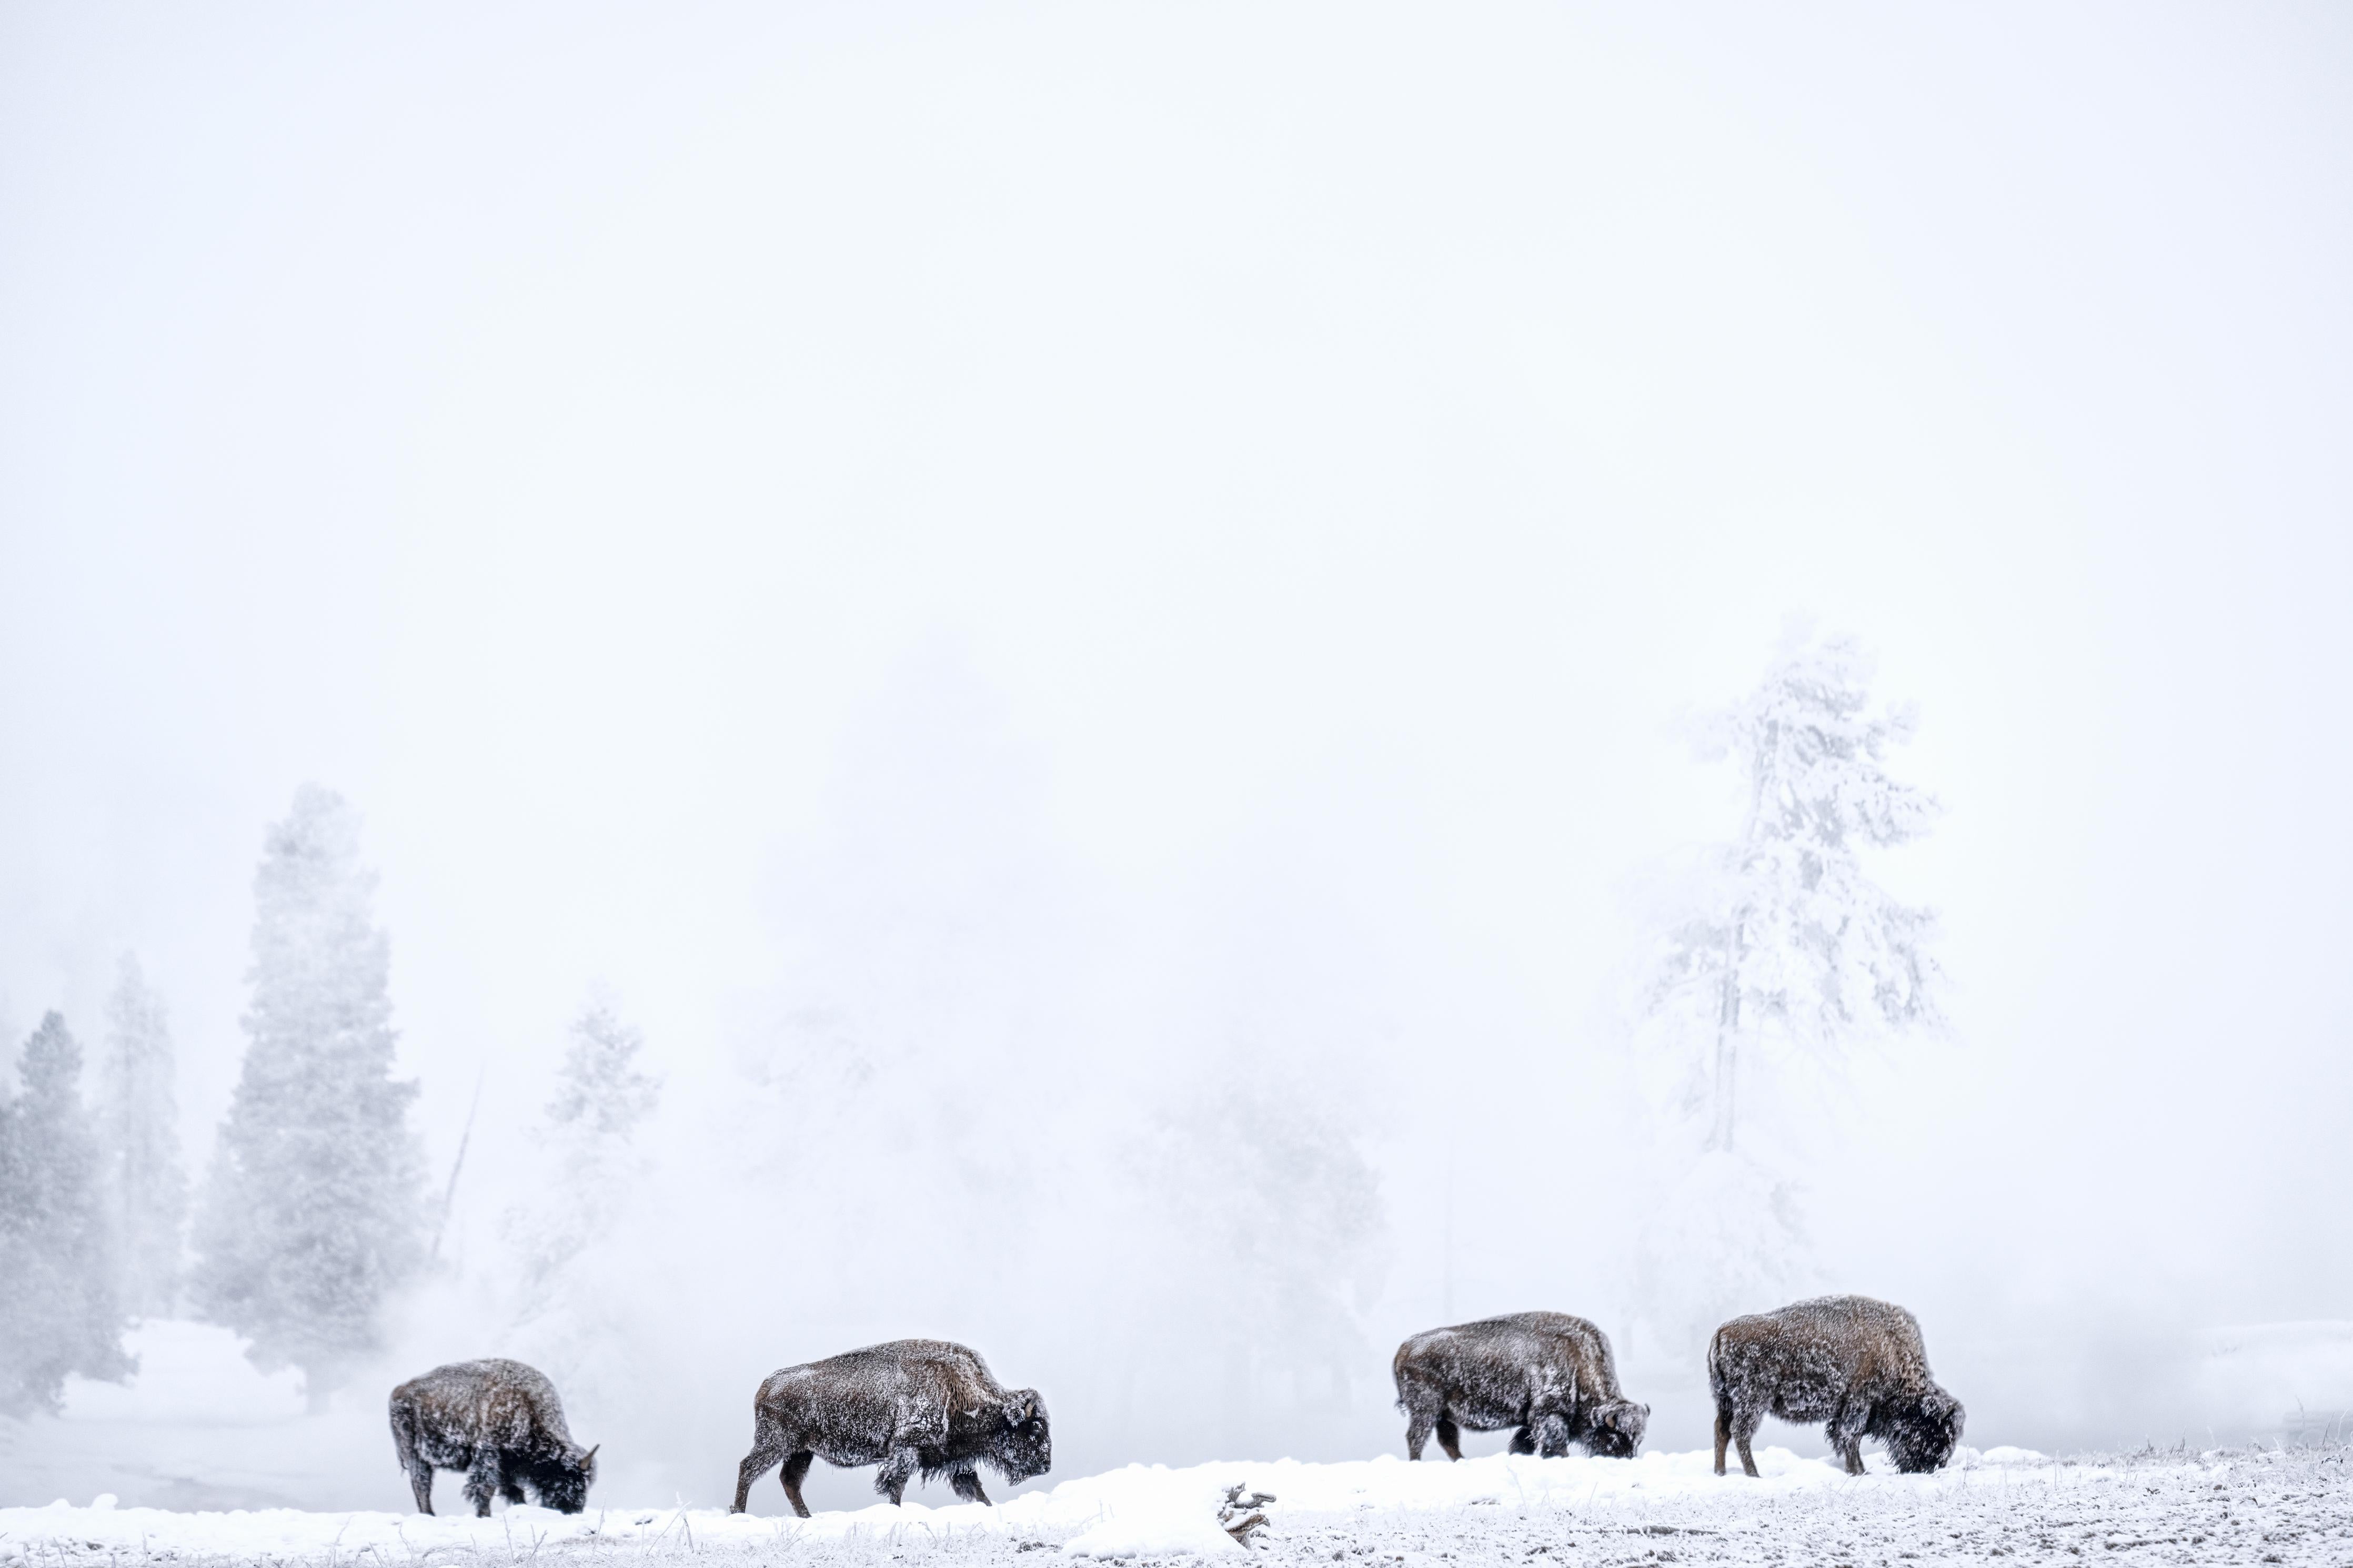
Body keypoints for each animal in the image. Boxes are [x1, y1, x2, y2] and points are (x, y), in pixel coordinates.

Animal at [386, 1354, 597, 1514]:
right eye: (570, 1478)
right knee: (421, 1485)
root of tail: (399, 1392)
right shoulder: (488, 1455)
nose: (573, 1509)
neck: (528, 1406)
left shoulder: (507, 1466)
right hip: (414, 1454)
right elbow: (485, 1488)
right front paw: (484, 1515)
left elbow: (513, 1491)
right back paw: (429, 1514)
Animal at [729, 1335, 1054, 1523]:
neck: (958, 1390)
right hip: (777, 1443)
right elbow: (895, 1486)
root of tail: (766, 1386)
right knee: (749, 1469)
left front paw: (989, 1509)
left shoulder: (955, 1461)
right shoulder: (906, 1452)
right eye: (1036, 1429)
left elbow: (976, 1489)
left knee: (790, 1481)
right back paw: (738, 1513)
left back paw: (807, 1519)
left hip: (801, 1452)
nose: (1046, 1466)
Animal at [1383, 1316, 1647, 1457]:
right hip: (1426, 1410)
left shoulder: (1530, 1424)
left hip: (1444, 1415)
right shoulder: (1549, 1417)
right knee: (1417, 1438)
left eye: (1639, 1439)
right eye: (1615, 1436)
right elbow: (1555, 1447)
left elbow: (1522, 1445)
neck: (1579, 1364)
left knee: (1448, 1441)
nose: (1626, 1459)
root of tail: (1404, 1349)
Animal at [1713, 1298, 1967, 1476]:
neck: (1893, 1348)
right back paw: (1754, 1475)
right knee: (1740, 1433)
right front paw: (1857, 1472)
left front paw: (1861, 1470)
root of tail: (1721, 1333)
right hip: (1752, 1401)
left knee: (1722, 1431)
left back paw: (1721, 1473)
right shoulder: (1860, 1402)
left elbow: (1847, 1438)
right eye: (1936, 1432)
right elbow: (1851, 1437)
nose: (1930, 1466)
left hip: (1726, 1401)